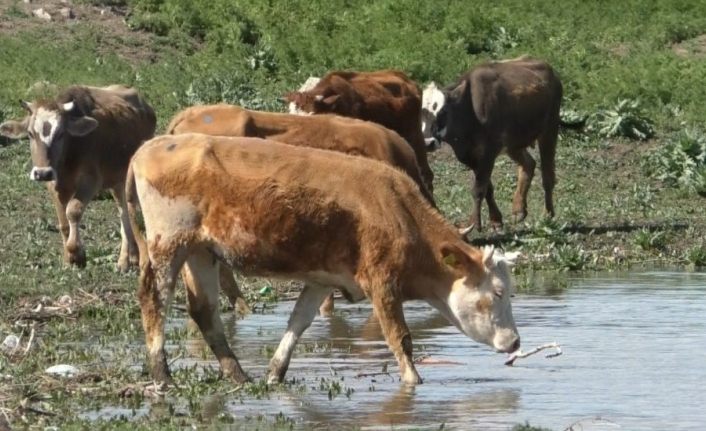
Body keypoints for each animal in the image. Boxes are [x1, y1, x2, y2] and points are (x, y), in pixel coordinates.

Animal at [0, 84, 155, 270]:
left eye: (61, 133)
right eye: (30, 134)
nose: (42, 173)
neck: (70, 155)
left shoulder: (91, 180)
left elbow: (73, 210)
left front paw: (76, 253)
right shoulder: (55, 184)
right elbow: (63, 222)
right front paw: (69, 257)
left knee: (129, 211)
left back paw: (125, 259)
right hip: (117, 179)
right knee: (123, 208)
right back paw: (129, 257)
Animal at [131, 134, 516, 388]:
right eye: (497, 293)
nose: (515, 342)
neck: (399, 211)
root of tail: (152, 146)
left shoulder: (322, 280)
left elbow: (298, 322)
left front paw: (275, 373)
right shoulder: (382, 283)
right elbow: (399, 337)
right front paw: (413, 381)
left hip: (201, 252)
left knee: (205, 312)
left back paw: (238, 374)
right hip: (168, 245)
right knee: (155, 301)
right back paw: (162, 376)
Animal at [428, 59, 560, 233]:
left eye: (441, 111)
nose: (428, 142)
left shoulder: (488, 152)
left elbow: (478, 189)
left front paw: (475, 223)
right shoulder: (470, 156)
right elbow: (487, 188)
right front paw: (496, 220)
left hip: (549, 130)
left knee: (547, 176)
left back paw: (548, 214)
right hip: (514, 144)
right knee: (529, 164)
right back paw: (519, 210)